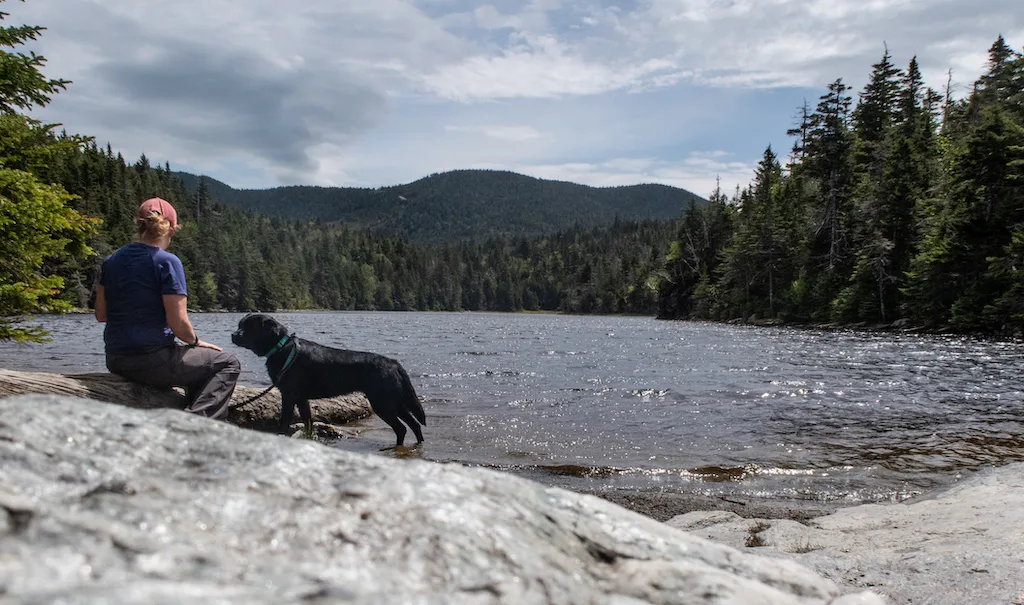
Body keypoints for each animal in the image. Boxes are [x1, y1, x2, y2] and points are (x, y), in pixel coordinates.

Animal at [231, 315, 423, 448]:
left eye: (249, 327)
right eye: (239, 325)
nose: (233, 335)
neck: (281, 348)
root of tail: (394, 362)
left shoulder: (289, 394)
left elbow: (284, 421)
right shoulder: (301, 398)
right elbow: (308, 421)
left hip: (383, 403)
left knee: (402, 427)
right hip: (395, 401)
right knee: (414, 424)